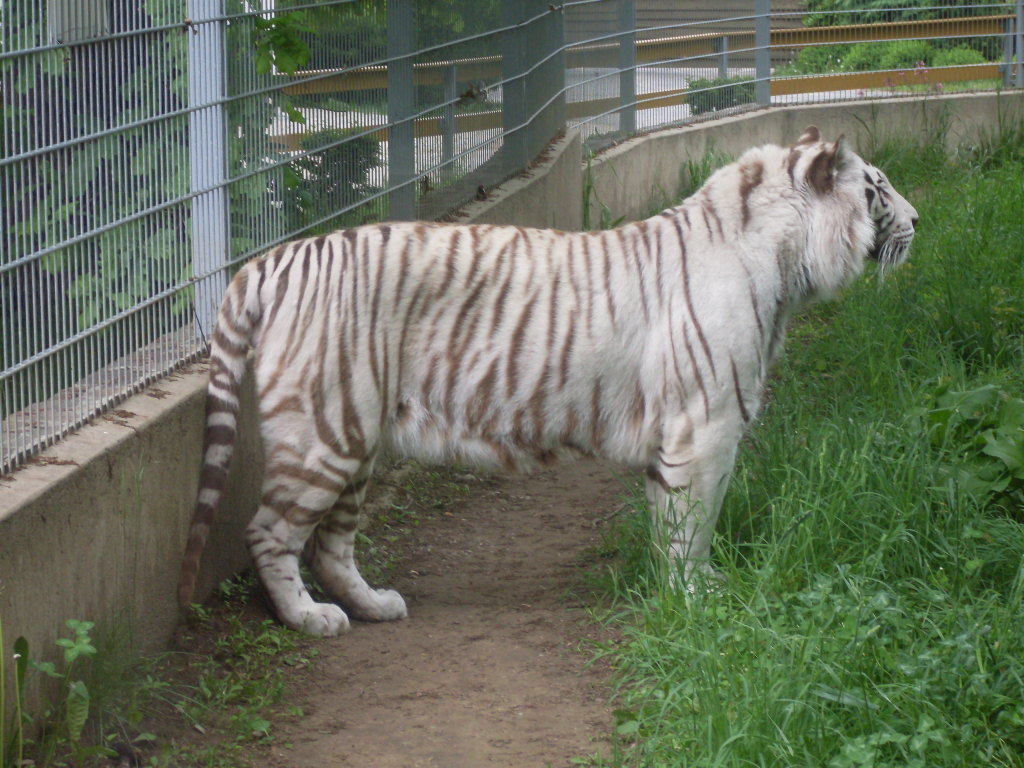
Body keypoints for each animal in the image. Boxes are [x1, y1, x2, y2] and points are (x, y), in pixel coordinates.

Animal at [177, 126, 917, 636]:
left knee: (332, 544)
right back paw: (310, 619)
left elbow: (674, 524)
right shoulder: (705, 429)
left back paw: (373, 605)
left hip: (356, 435)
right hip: (322, 435)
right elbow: (694, 523)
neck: (786, 267)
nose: (919, 220)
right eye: (879, 188)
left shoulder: (684, 438)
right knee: (270, 532)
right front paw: (697, 600)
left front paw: (684, 589)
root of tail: (269, 261)